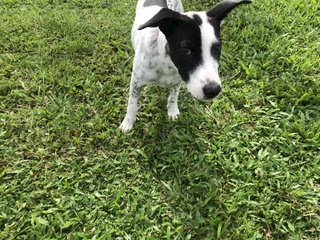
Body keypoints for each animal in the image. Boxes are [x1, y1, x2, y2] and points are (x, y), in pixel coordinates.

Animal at [119, 0, 250, 133]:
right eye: (185, 50)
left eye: (217, 48)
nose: (213, 90)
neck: (167, 63)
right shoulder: (136, 81)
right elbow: (132, 104)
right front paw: (128, 122)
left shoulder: (177, 80)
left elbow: (173, 96)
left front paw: (172, 111)